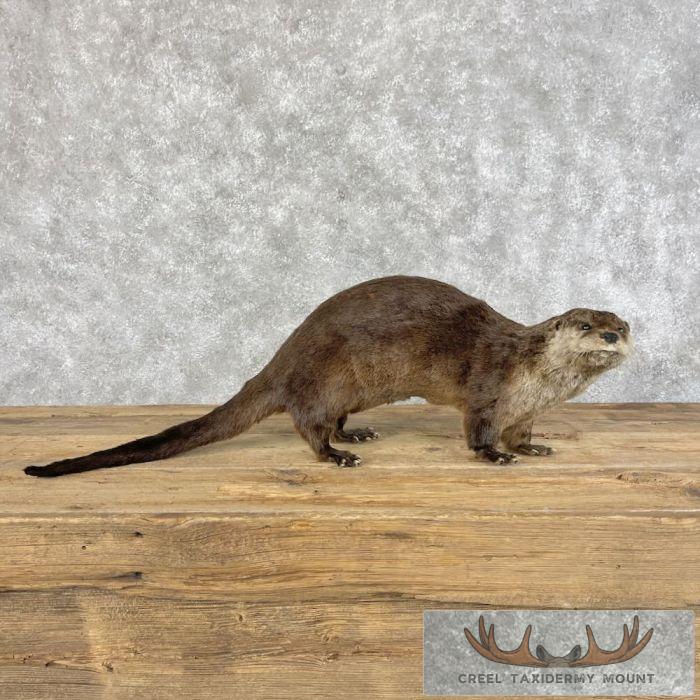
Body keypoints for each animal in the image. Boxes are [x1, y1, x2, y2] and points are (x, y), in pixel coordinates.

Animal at [24, 275, 631, 477]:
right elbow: (479, 432)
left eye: (622, 324)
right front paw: (496, 456)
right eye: (584, 324)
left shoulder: (525, 408)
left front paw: (531, 448)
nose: (611, 336)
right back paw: (338, 455)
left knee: (331, 420)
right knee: (309, 425)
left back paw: (355, 434)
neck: (534, 378)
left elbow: (523, 431)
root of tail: (286, 355)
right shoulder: (487, 387)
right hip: (326, 377)